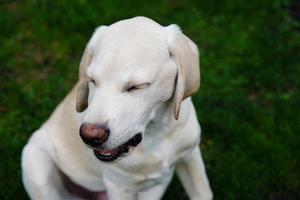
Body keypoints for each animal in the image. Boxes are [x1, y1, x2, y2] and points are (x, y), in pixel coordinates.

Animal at [21, 16, 212, 199]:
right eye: (92, 80)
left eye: (136, 86)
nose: (90, 137)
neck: (155, 134)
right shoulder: (119, 186)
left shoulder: (191, 156)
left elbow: (203, 192)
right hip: (34, 158)